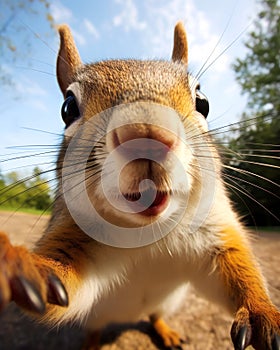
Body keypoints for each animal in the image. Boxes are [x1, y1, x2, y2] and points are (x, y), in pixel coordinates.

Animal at [0, 21, 278, 350]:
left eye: (204, 102)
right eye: (67, 108)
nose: (147, 136)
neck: (151, 232)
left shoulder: (217, 235)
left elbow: (239, 273)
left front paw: (264, 312)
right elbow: (55, 294)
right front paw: (14, 261)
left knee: (155, 316)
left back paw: (167, 332)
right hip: (96, 316)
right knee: (97, 327)